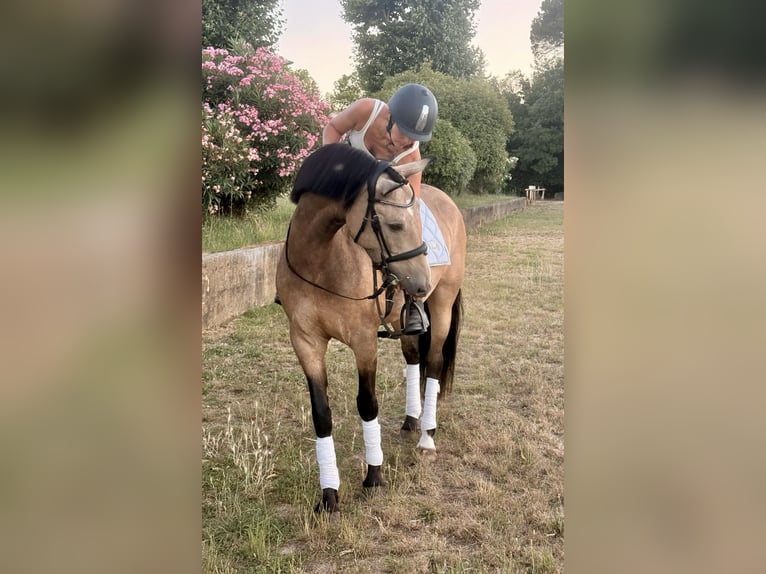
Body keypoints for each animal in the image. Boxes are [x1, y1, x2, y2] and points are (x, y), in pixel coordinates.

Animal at [275, 143, 466, 512]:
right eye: (394, 225)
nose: (421, 282)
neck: (320, 261)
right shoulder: (305, 341)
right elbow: (321, 414)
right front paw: (329, 495)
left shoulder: (363, 341)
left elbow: (367, 404)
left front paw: (374, 476)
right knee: (413, 359)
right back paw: (411, 420)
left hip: (442, 304)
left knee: (434, 364)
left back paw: (427, 438)